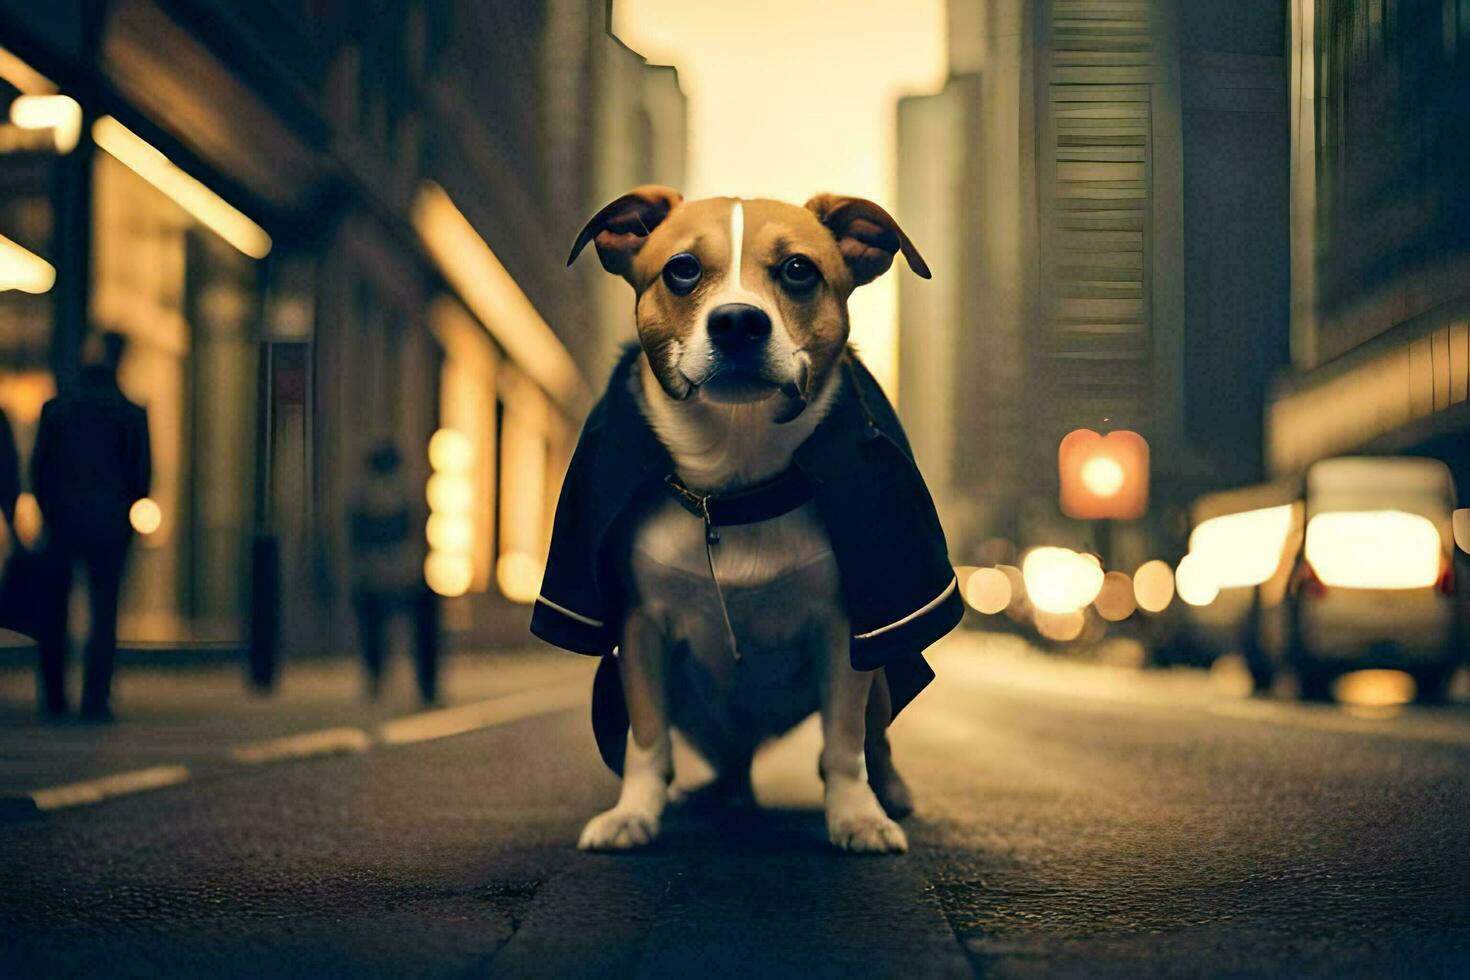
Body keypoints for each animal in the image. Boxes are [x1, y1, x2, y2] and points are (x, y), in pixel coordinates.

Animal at [546, 188, 958, 852]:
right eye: (682, 268)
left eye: (798, 270)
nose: (738, 321)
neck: (733, 485)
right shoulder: (641, 630)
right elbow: (647, 741)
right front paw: (634, 813)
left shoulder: (845, 633)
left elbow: (844, 745)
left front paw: (857, 816)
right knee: (727, 762)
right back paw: (712, 795)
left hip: (879, 679)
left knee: (875, 739)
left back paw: (889, 793)